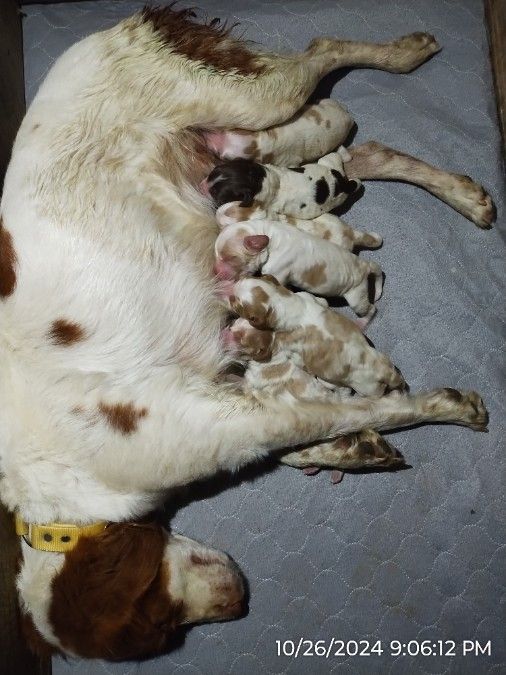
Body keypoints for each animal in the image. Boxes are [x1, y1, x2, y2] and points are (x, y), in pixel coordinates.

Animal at [204, 97, 354, 166]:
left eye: (223, 156)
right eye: (230, 129)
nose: (206, 135)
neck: (265, 144)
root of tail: (349, 118)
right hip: (329, 105)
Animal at [204, 150, 362, 219]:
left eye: (215, 194)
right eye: (212, 172)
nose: (202, 184)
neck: (262, 181)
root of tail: (341, 182)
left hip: (340, 198)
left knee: (355, 185)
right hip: (327, 161)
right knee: (335, 157)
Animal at [213, 219, 384, 320]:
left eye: (230, 258)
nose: (216, 272)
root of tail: (364, 267)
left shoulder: (277, 274)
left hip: (356, 297)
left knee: (370, 309)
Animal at [227, 278, 406, 398]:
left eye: (237, 302)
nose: (229, 292)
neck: (287, 304)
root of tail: (384, 372)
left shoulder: (292, 348)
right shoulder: (313, 298)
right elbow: (322, 300)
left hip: (367, 389)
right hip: (385, 360)